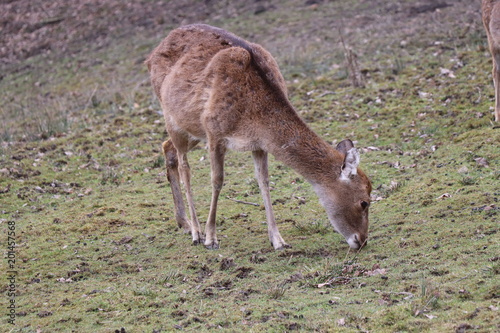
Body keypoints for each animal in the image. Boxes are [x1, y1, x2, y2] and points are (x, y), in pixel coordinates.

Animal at [145, 24, 372, 250]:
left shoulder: (258, 144)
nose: (361, 240)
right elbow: (217, 180)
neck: (253, 115)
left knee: (167, 147)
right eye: (364, 202)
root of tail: (151, 56)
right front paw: (211, 238)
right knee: (185, 167)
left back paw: (183, 222)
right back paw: (196, 232)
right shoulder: (214, 131)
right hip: (173, 117)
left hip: (193, 128)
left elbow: (264, 181)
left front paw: (278, 240)